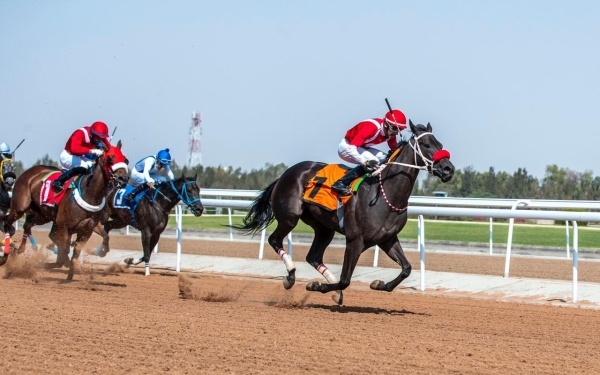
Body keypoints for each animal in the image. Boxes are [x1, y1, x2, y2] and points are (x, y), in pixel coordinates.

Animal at [1, 141, 129, 280]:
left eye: (125, 160)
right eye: (110, 158)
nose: (123, 179)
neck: (89, 194)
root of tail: (30, 171)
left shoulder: (87, 228)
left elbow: (92, 242)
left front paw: (72, 271)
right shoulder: (63, 226)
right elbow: (63, 250)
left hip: (43, 216)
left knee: (27, 224)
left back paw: (20, 249)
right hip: (19, 208)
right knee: (8, 224)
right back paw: (6, 253)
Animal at [234, 121, 454, 306]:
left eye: (440, 143)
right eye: (426, 144)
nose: (448, 169)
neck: (385, 194)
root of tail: (285, 174)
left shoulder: (387, 238)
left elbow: (406, 269)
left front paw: (379, 284)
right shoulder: (355, 240)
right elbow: (345, 280)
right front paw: (316, 285)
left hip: (324, 228)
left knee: (313, 256)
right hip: (290, 217)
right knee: (274, 240)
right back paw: (290, 276)